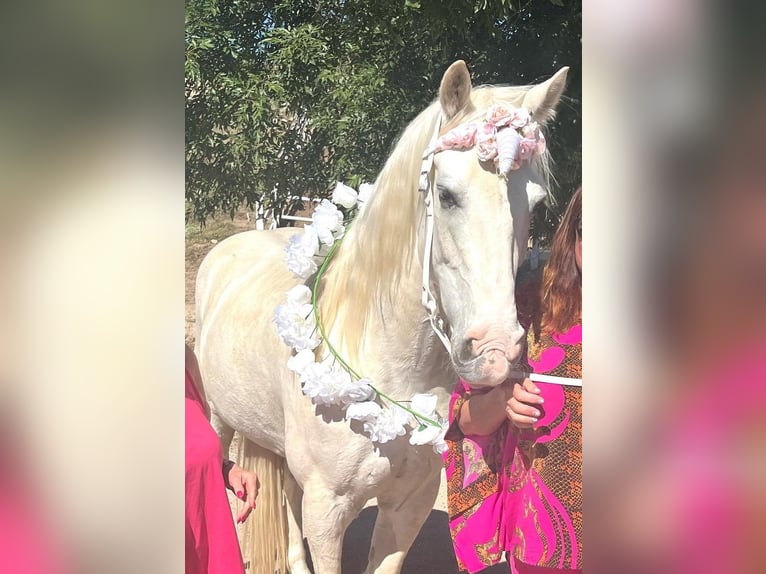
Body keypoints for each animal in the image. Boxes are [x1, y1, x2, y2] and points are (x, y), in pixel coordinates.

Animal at [195, 60, 568, 574]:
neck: (391, 371)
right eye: (446, 195)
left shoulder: (410, 504)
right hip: (217, 420)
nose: (494, 351)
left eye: (535, 203)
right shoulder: (327, 512)